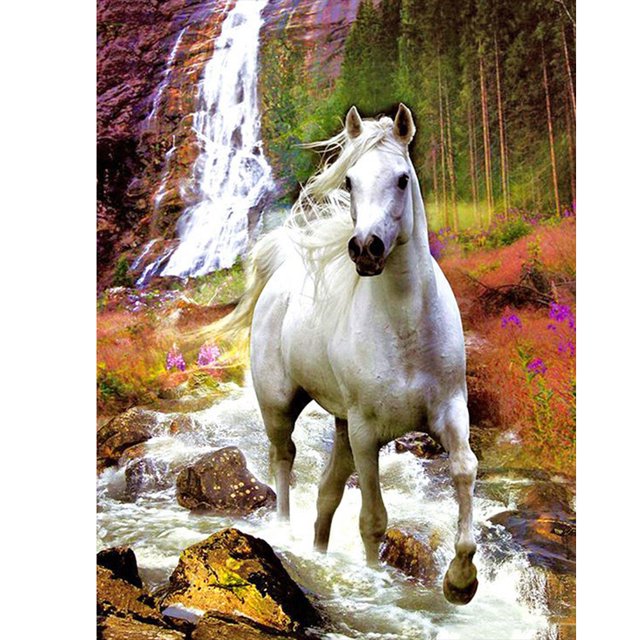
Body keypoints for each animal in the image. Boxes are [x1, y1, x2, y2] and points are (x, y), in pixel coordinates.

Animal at [206, 104, 479, 605]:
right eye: (349, 181)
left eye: (402, 179)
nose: (366, 248)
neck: (406, 329)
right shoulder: (367, 433)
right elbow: (373, 520)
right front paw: (375, 582)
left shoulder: (450, 411)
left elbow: (464, 470)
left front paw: (461, 580)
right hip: (280, 406)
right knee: (284, 459)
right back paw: (284, 532)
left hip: (339, 423)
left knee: (327, 492)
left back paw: (317, 550)